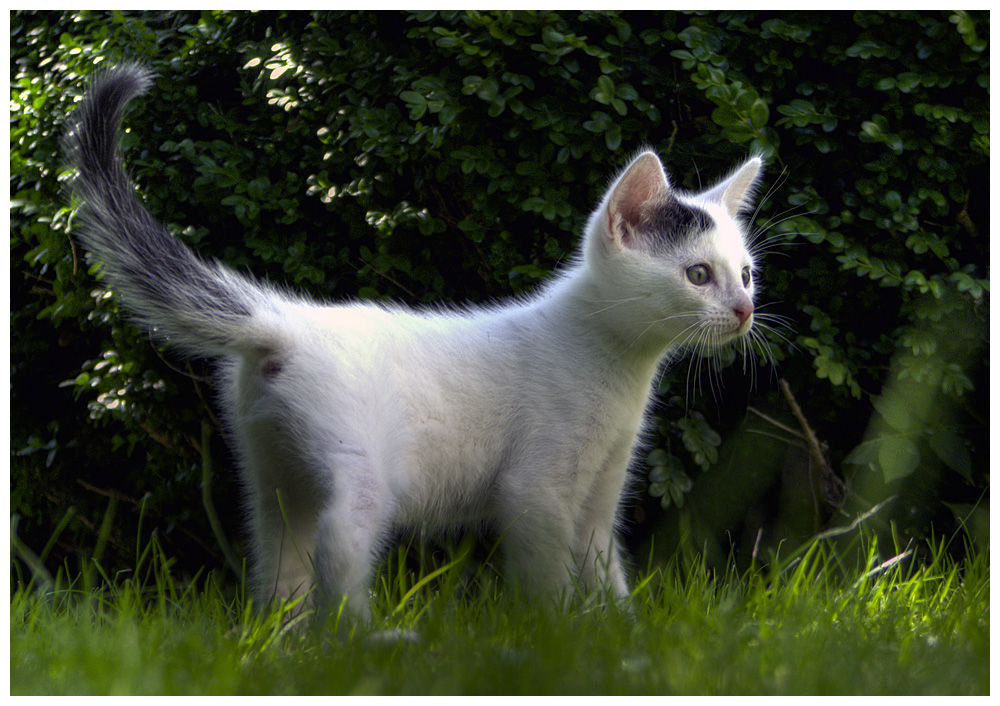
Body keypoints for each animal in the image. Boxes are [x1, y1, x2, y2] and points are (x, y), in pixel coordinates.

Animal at [62, 66, 760, 616]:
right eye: (698, 275)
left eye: (747, 273)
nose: (746, 309)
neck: (620, 366)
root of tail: (284, 317)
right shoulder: (535, 492)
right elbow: (547, 580)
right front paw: (560, 639)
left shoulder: (598, 495)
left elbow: (603, 571)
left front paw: (618, 637)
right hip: (359, 463)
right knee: (339, 550)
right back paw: (367, 644)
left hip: (272, 476)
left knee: (278, 565)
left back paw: (284, 647)